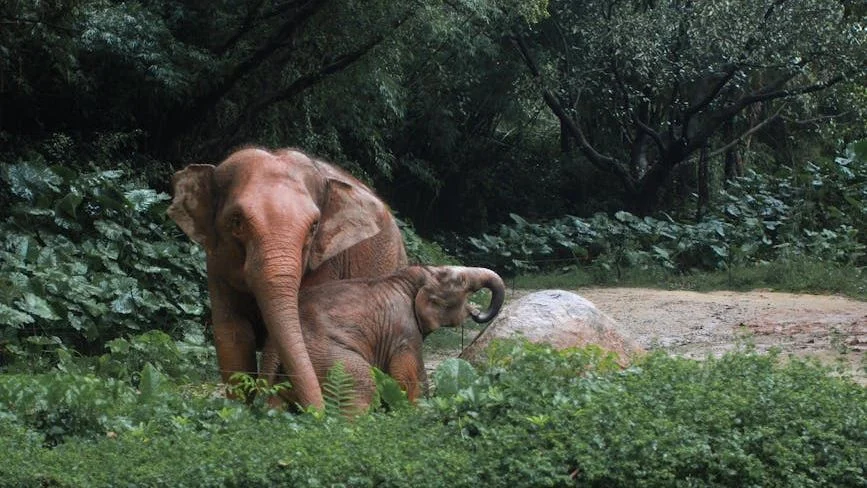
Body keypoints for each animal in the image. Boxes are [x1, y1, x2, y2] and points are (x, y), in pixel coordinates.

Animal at [168, 146, 407, 409]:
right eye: (236, 221)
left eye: (313, 227)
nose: (319, 414)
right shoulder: (216, 262)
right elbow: (232, 335)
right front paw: (240, 410)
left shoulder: (326, 262)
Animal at [261, 265, 506, 412]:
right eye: (462, 281)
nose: (477, 313)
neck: (416, 277)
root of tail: (273, 346)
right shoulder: (404, 331)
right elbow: (409, 378)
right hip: (326, 356)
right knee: (362, 385)